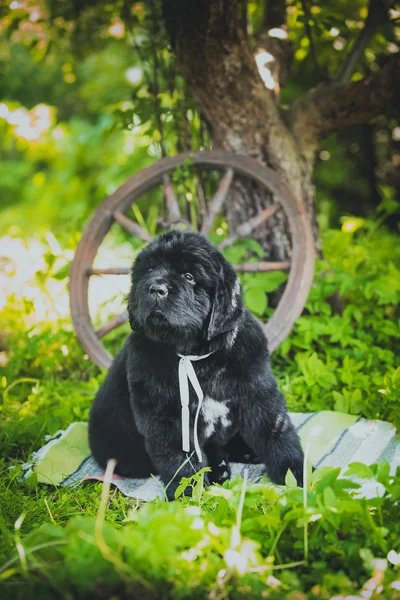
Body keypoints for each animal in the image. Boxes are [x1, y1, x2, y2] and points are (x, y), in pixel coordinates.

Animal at [89, 229, 304, 496]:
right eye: (149, 270)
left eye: (189, 276)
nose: (156, 288)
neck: (198, 356)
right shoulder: (167, 415)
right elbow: (181, 458)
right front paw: (189, 494)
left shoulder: (258, 394)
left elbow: (277, 432)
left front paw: (298, 474)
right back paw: (220, 467)